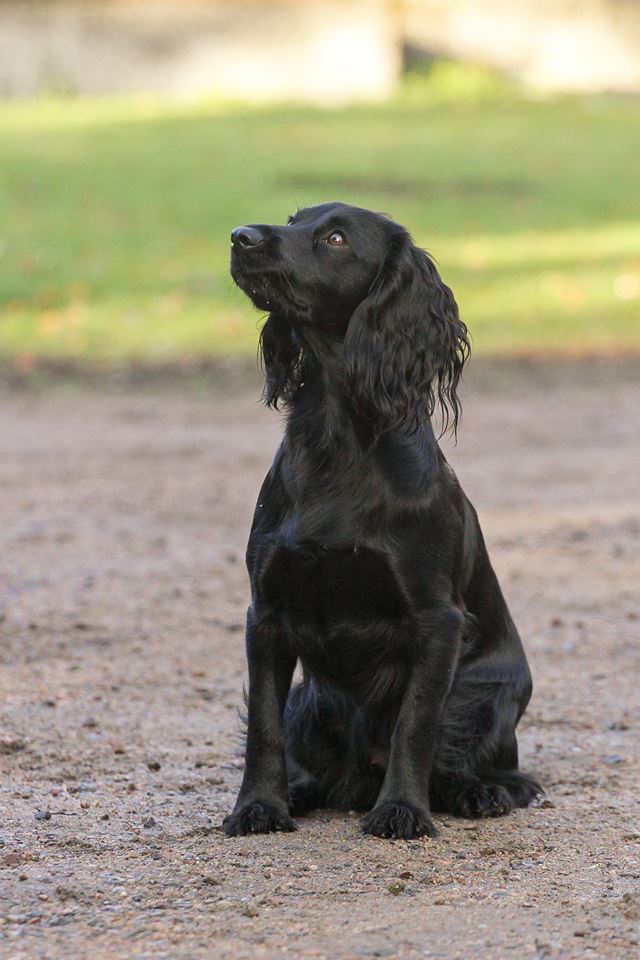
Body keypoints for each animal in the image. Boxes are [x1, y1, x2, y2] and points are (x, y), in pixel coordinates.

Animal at [225, 202, 540, 840]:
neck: (339, 440)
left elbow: (415, 725)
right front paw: (260, 807)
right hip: (311, 700)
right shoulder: (265, 613)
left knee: (487, 766)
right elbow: (262, 726)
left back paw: (479, 792)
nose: (239, 236)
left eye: (335, 238)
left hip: (488, 693)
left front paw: (402, 810)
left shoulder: (437, 620)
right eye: (293, 219)